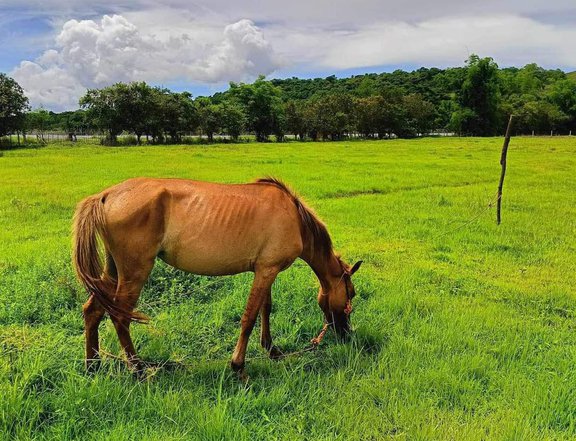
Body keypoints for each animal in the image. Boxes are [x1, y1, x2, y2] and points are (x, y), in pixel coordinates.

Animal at [72, 176, 360, 374]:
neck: (295, 219)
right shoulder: (266, 271)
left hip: (113, 271)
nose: (346, 333)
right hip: (135, 272)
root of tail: (105, 195)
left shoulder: (266, 270)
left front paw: (271, 349)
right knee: (120, 317)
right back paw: (138, 369)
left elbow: (265, 309)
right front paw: (238, 365)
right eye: (352, 293)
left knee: (93, 311)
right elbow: (249, 317)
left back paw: (92, 365)